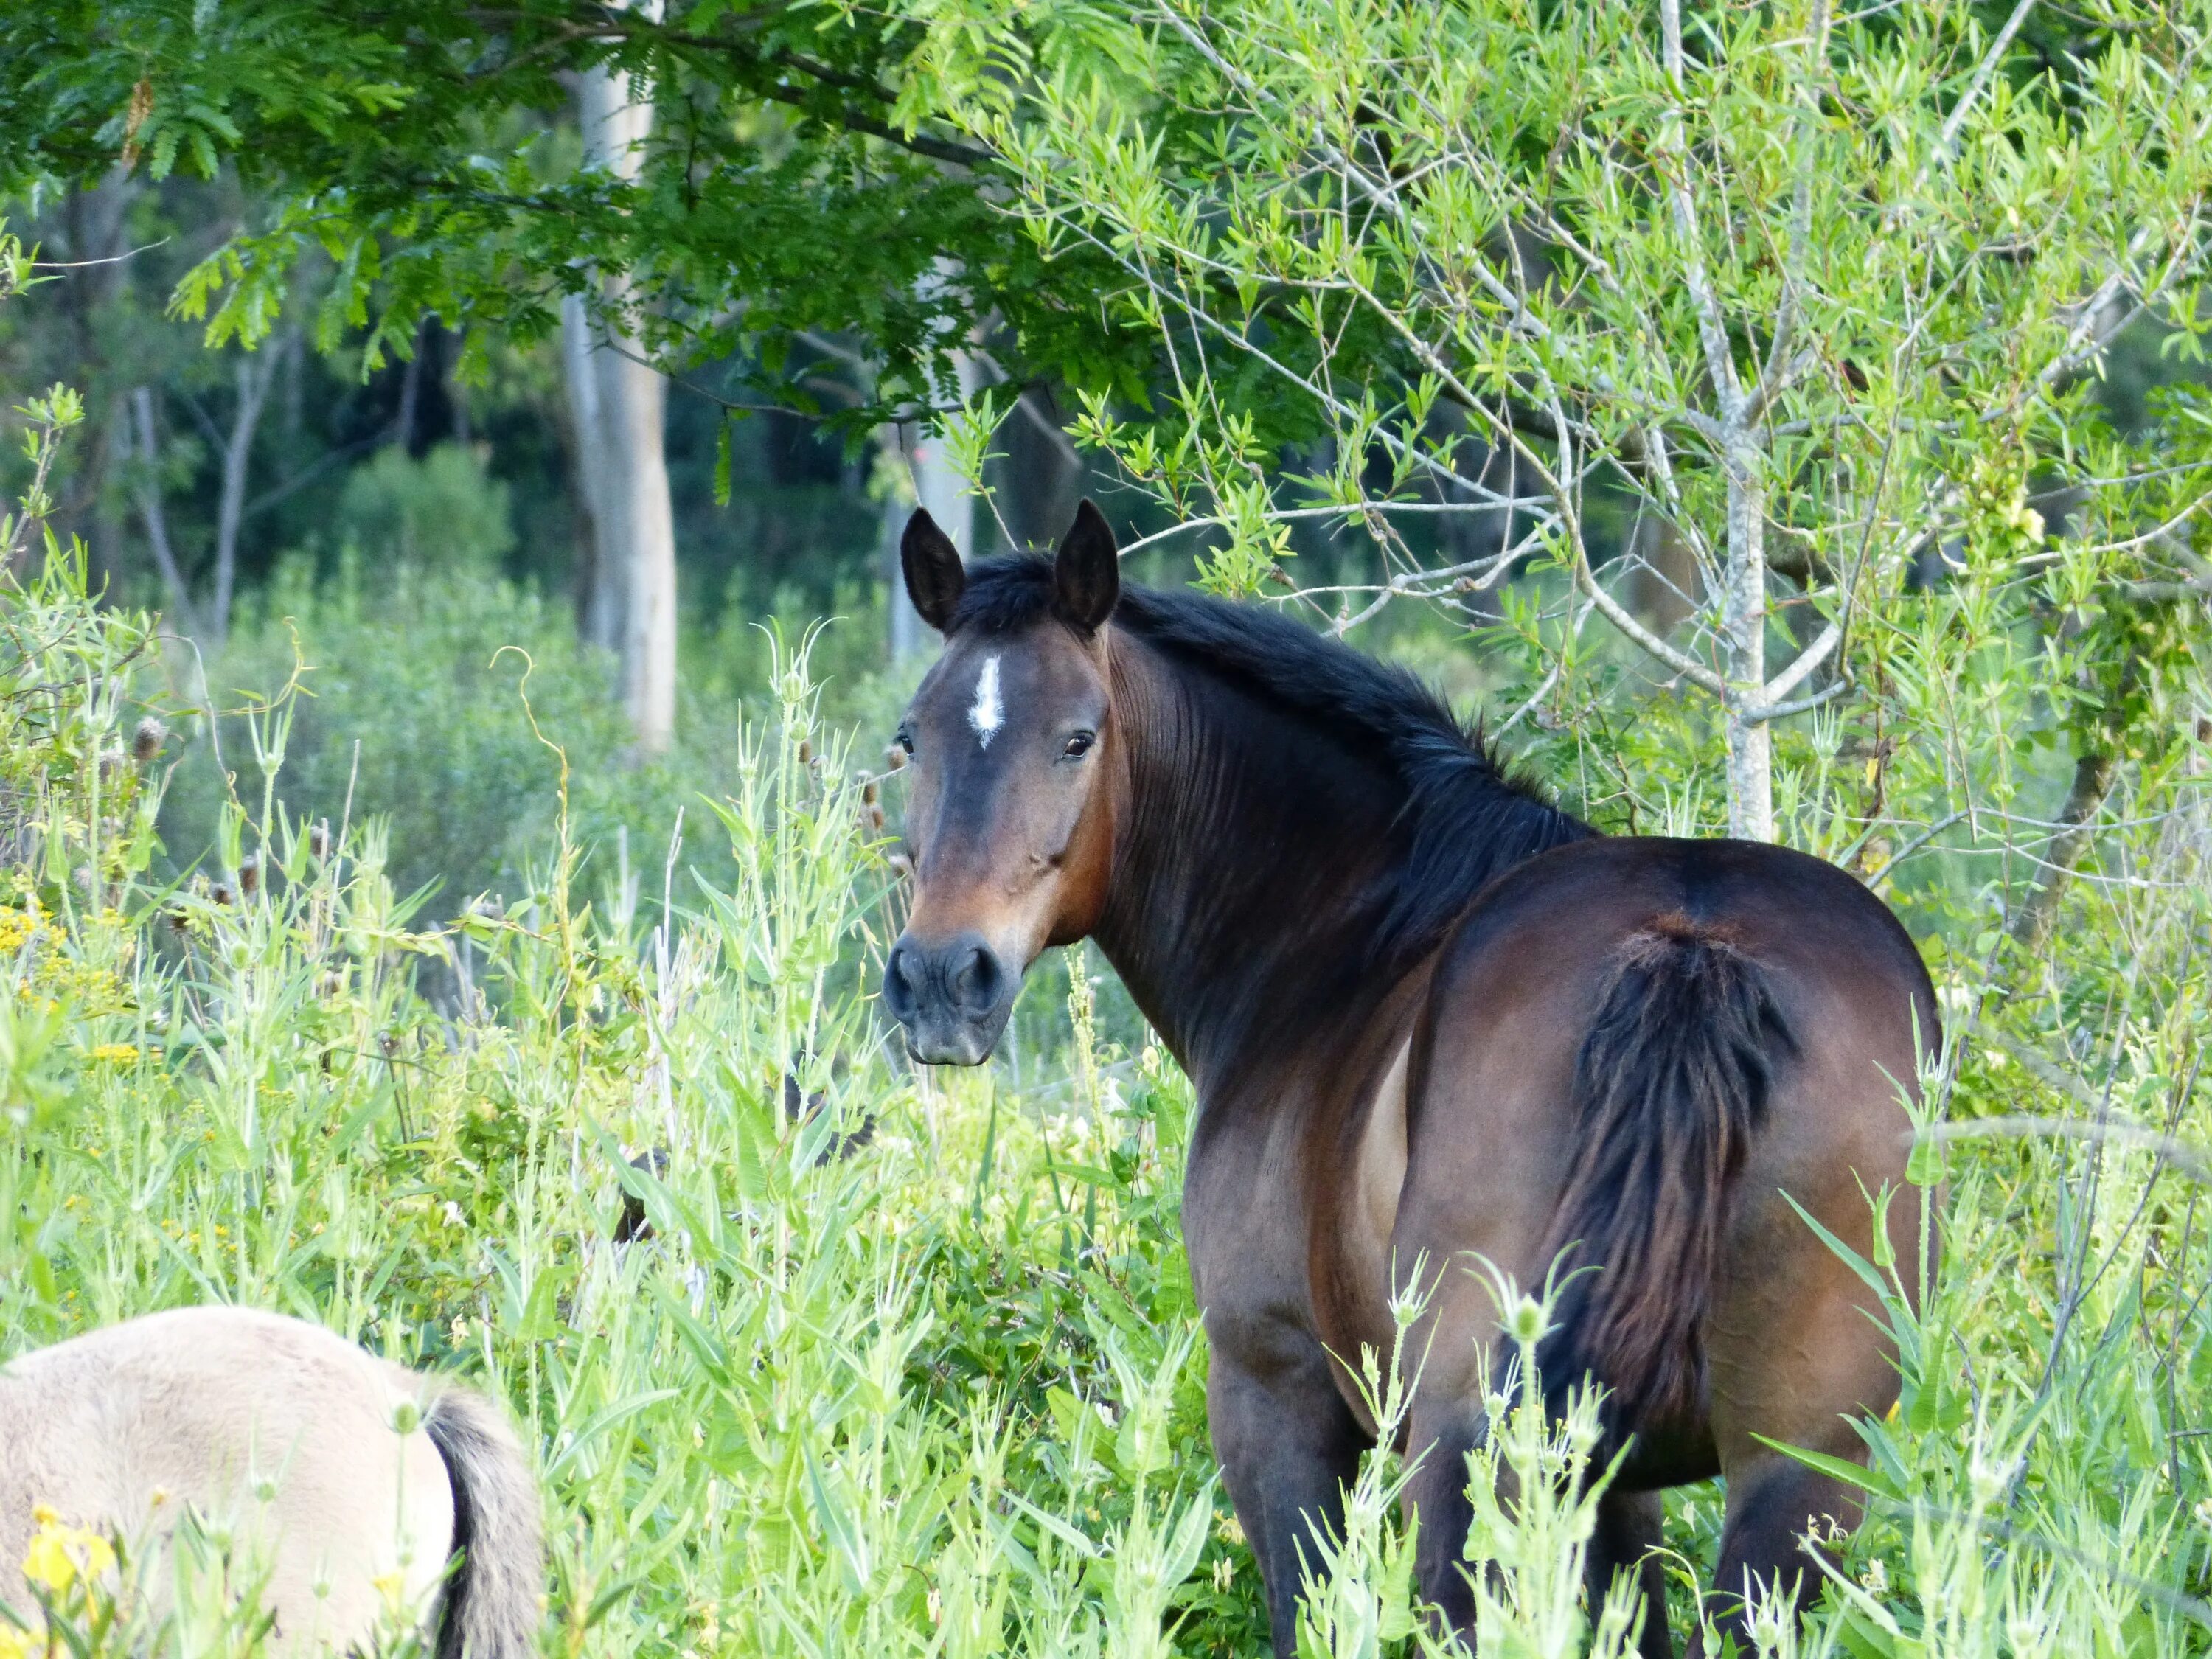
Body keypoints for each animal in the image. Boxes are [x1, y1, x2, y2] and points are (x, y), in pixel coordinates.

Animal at [880, 507, 1938, 1659]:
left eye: (1078, 737)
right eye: (912, 740)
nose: (942, 979)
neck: (1345, 931)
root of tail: (1690, 946)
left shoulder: (1275, 1396)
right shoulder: (1626, 1486)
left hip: (1474, 1445)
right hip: (1792, 1472)